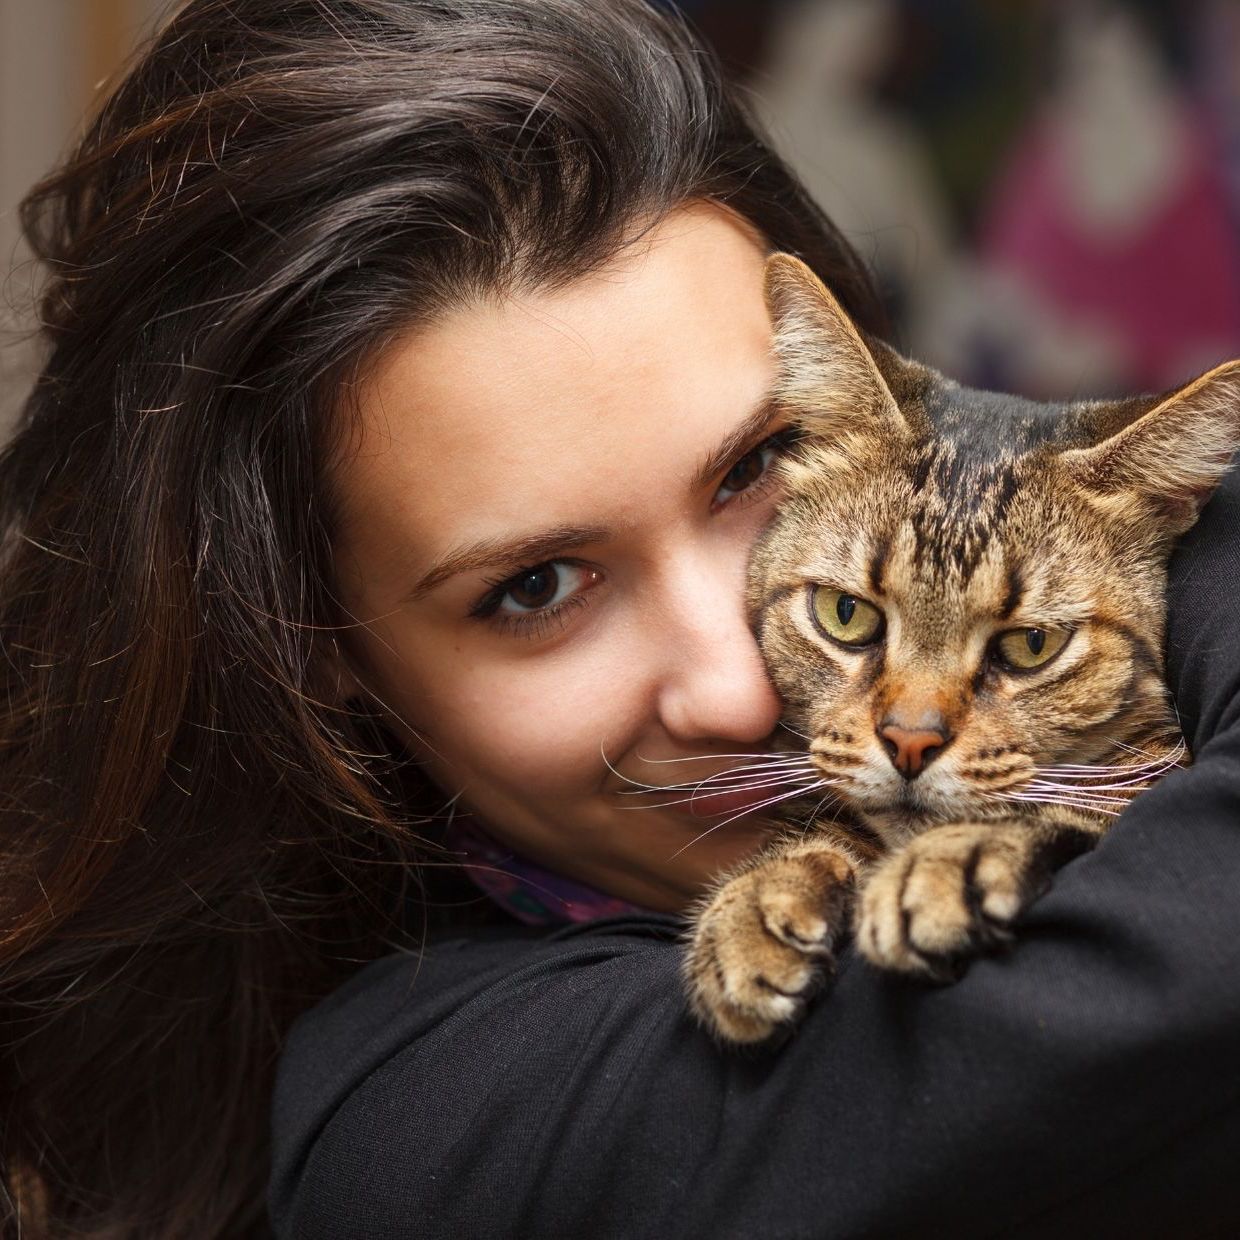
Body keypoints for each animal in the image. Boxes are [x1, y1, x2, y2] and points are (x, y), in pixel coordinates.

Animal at [689, 254, 1240, 1046]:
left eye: (1032, 645)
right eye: (846, 614)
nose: (910, 742)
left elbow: (1092, 813)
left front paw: (957, 861)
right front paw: (768, 891)